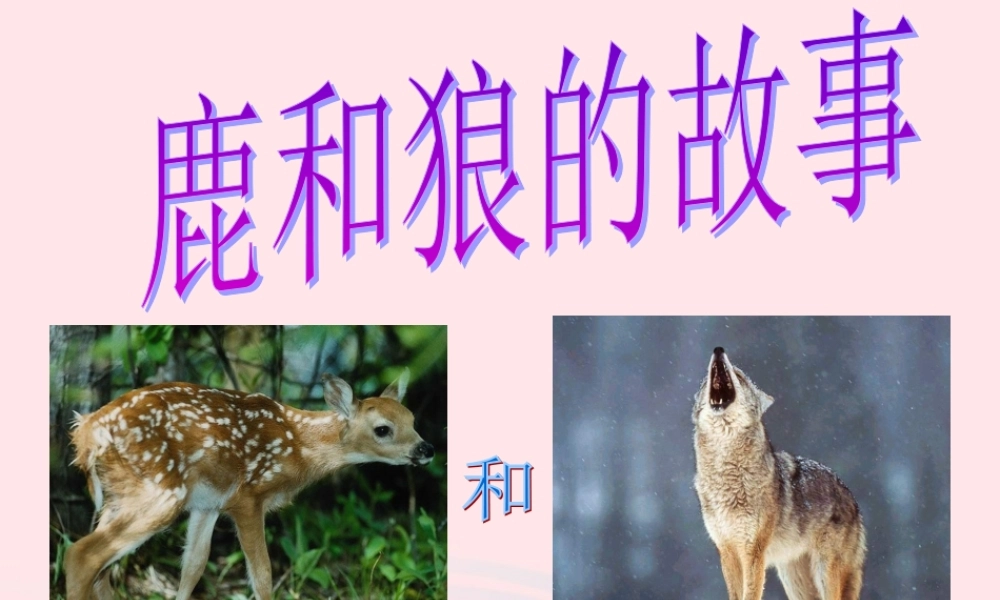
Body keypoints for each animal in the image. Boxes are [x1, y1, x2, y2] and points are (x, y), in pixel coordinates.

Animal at [64, 369, 435, 600]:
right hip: (159, 491)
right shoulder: (248, 497)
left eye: (412, 419)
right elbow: (262, 574)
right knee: (81, 554)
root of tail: (86, 434)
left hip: (120, 494)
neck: (298, 445)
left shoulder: (209, 503)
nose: (426, 449)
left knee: (100, 570)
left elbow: (193, 567)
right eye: (383, 429)